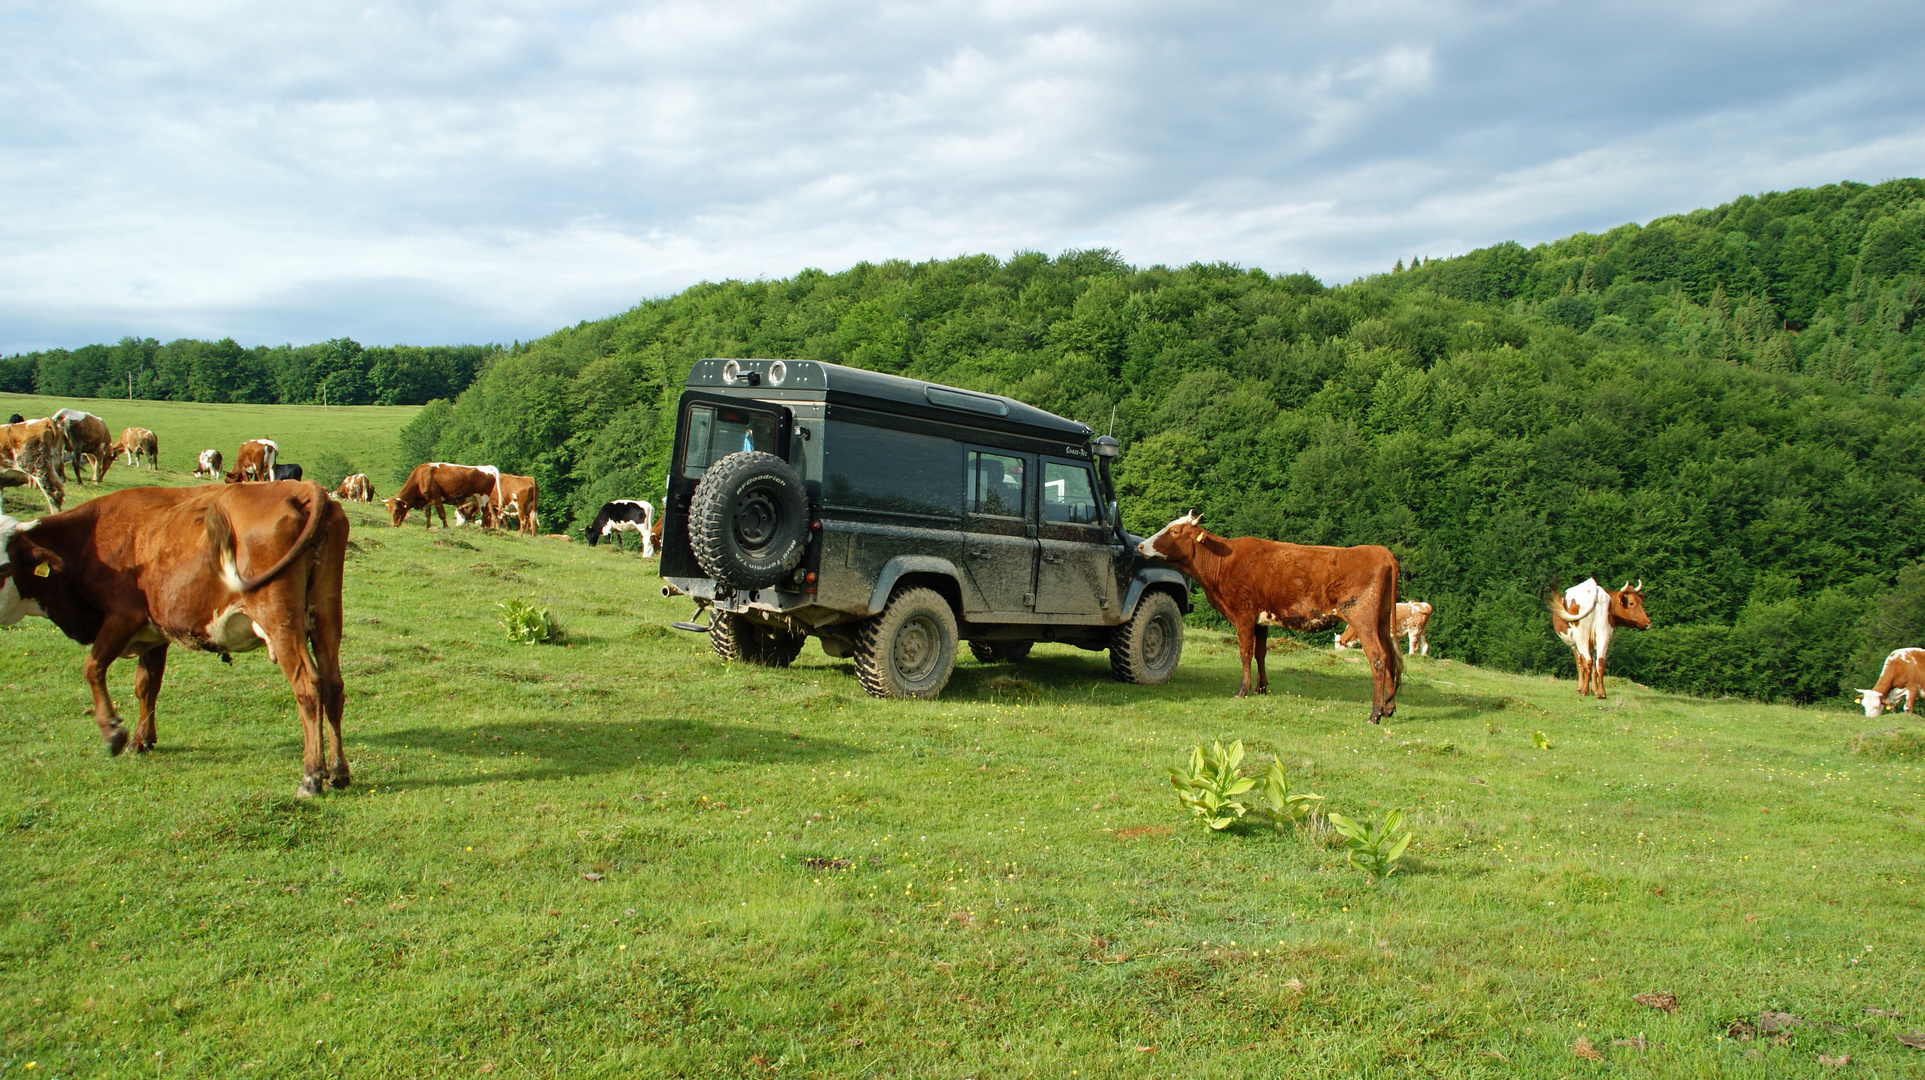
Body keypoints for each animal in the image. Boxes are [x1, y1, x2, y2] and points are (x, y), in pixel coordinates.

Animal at [0, 479, 352, 793]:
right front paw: (142, 739)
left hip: (279, 619)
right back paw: (338, 773)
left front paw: (113, 732)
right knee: (333, 685)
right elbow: (146, 684)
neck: (89, 539)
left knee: (308, 686)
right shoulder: (153, 632)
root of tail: (302, 488)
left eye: (3, 568)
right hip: (325, 614)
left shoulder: (122, 617)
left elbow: (92, 668)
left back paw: (311, 776)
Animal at [1131, 512, 1409, 720]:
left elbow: (1245, 653)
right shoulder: (1261, 619)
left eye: (1175, 532)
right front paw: (1261, 688)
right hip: (1382, 622)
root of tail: (1381, 552)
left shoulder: (1243, 614)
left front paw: (1242, 690)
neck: (1224, 564)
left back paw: (1375, 713)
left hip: (1362, 619)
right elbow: (1260, 653)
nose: (1141, 545)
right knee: (1391, 656)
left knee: (1378, 658)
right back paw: (1389, 707)